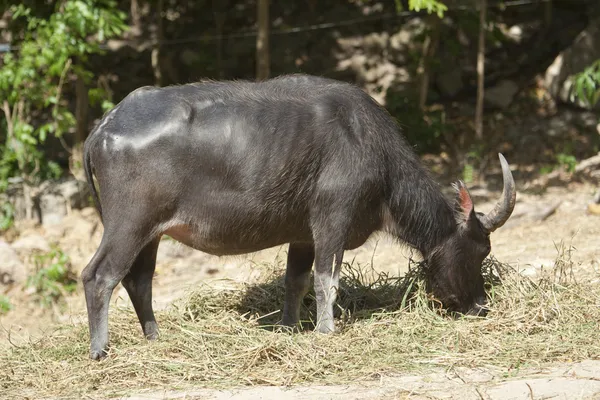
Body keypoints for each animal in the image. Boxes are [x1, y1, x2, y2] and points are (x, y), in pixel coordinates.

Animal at [82, 74, 516, 360]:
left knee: (138, 280)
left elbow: (296, 281)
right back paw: (100, 349)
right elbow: (326, 280)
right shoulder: (332, 221)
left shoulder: (303, 235)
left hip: (151, 232)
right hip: (128, 224)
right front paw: (326, 330)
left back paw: (155, 337)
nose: (481, 305)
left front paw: (289, 326)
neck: (371, 149)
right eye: (479, 251)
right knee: (99, 276)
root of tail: (105, 127)